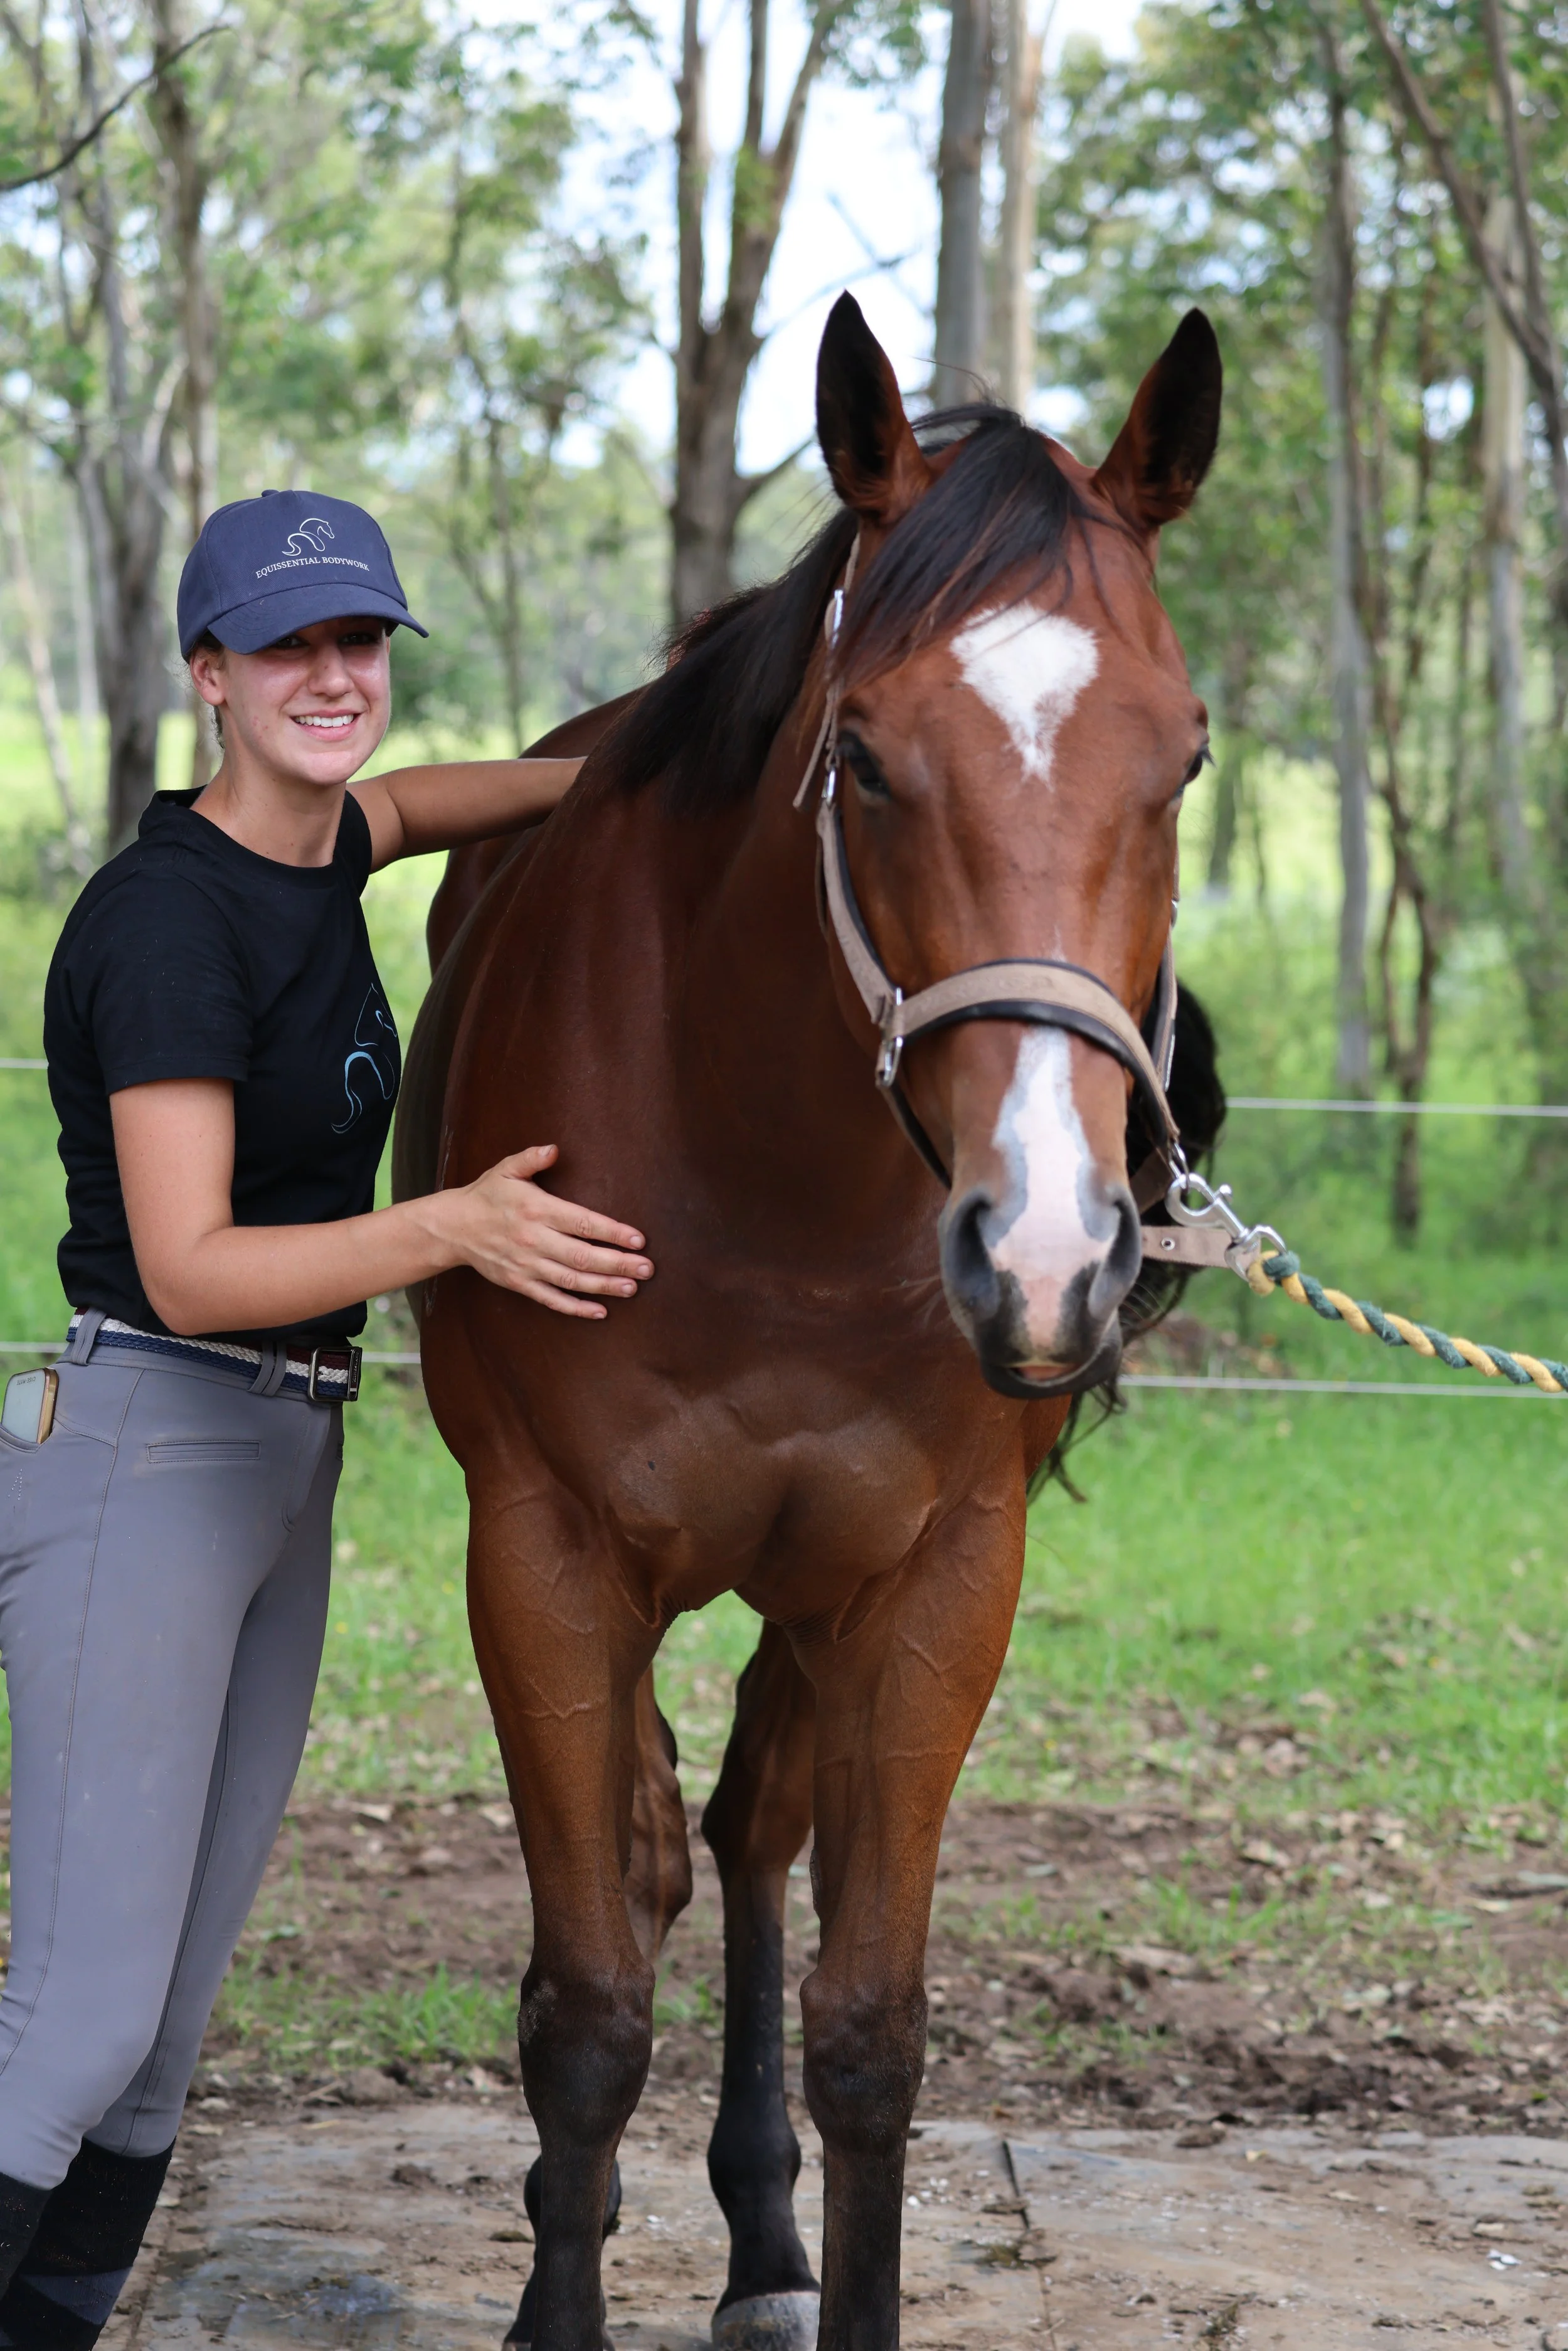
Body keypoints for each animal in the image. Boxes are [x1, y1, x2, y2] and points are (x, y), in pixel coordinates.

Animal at [394, 291, 1224, 2351]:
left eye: (1180, 760)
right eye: (861, 753)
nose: (1044, 1250)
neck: (759, 1175)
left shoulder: (930, 1580)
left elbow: (869, 2031)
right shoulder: (541, 1556)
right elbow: (586, 2009)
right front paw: (558, 2285)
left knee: (746, 1828)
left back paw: (759, 2230)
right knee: (641, 1856)